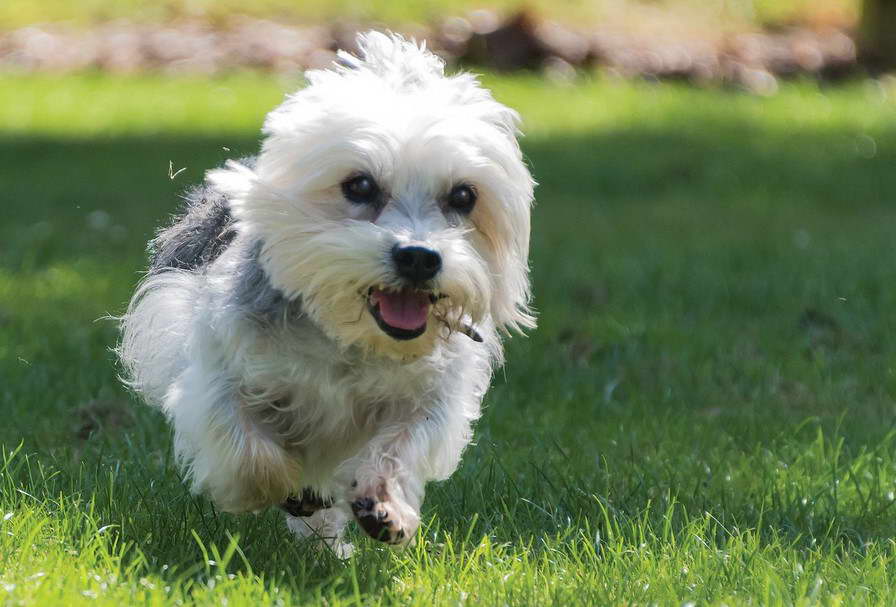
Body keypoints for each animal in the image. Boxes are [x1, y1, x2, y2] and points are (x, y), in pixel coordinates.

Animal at [121, 32, 540, 556]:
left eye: (464, 196)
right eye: (359, 185)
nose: (419, 257)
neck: (346, 338)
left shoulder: (433, 397)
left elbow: (401, 445)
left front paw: (385, 504)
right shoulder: (218, 370)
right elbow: (250, 450)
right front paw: (281, 486)